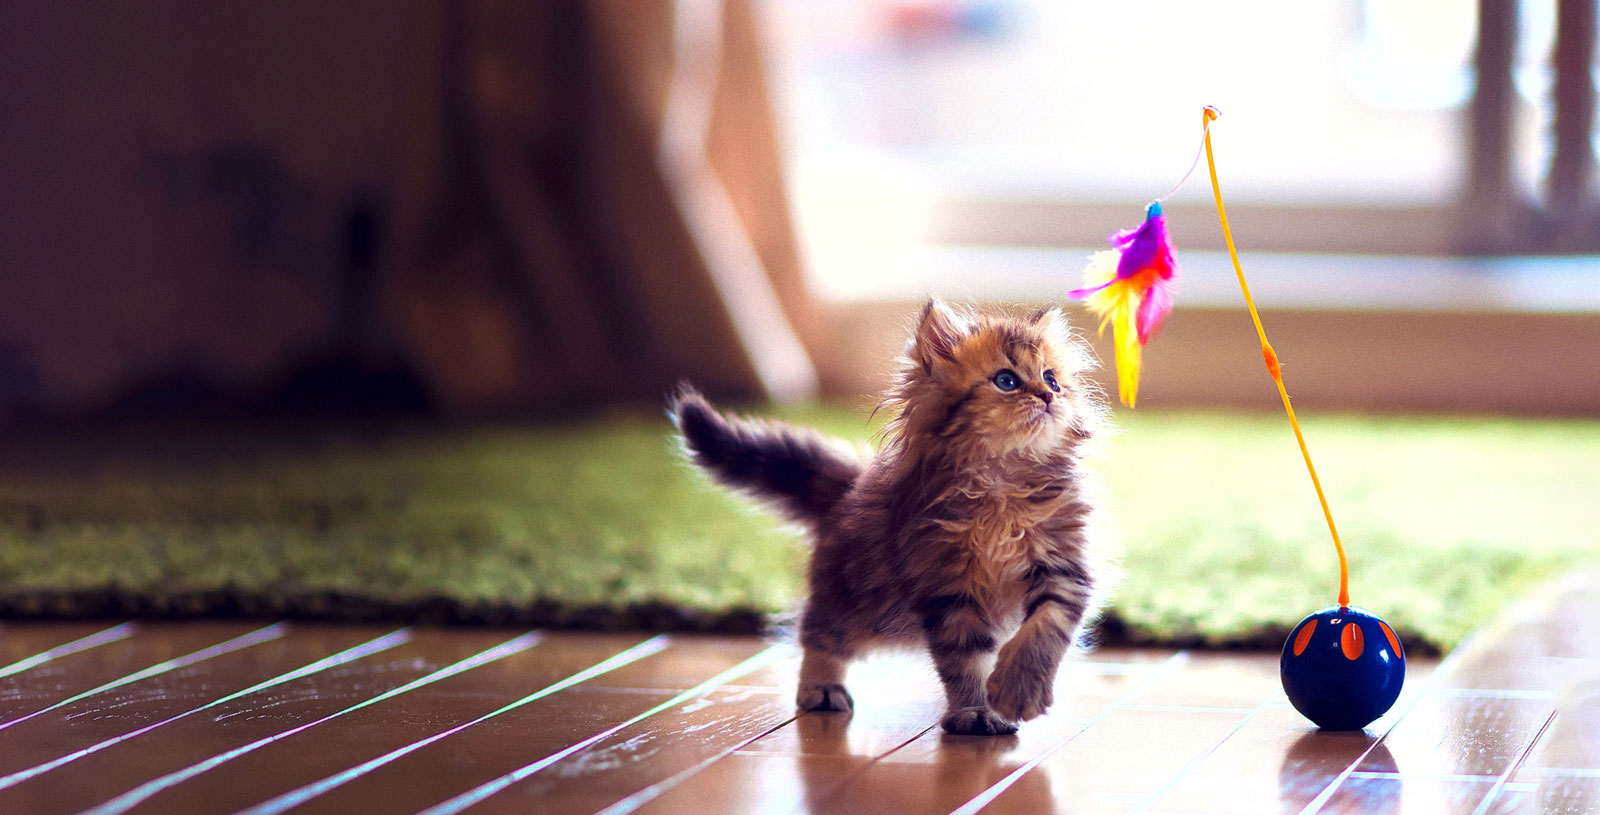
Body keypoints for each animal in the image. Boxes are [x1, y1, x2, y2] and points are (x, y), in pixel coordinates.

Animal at [670, 299, 1107, 735]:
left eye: (1052, 380)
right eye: (1007, 381)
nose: (1048, 396)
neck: (1004, 485)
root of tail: (851, 487)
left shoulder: (1064, 567)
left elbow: (1043, 631)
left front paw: (1017, 691)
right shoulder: (946, 587)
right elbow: (966, 660)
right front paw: (976, 711)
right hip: (856, 601)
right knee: (819, 635)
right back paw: (821, 689)